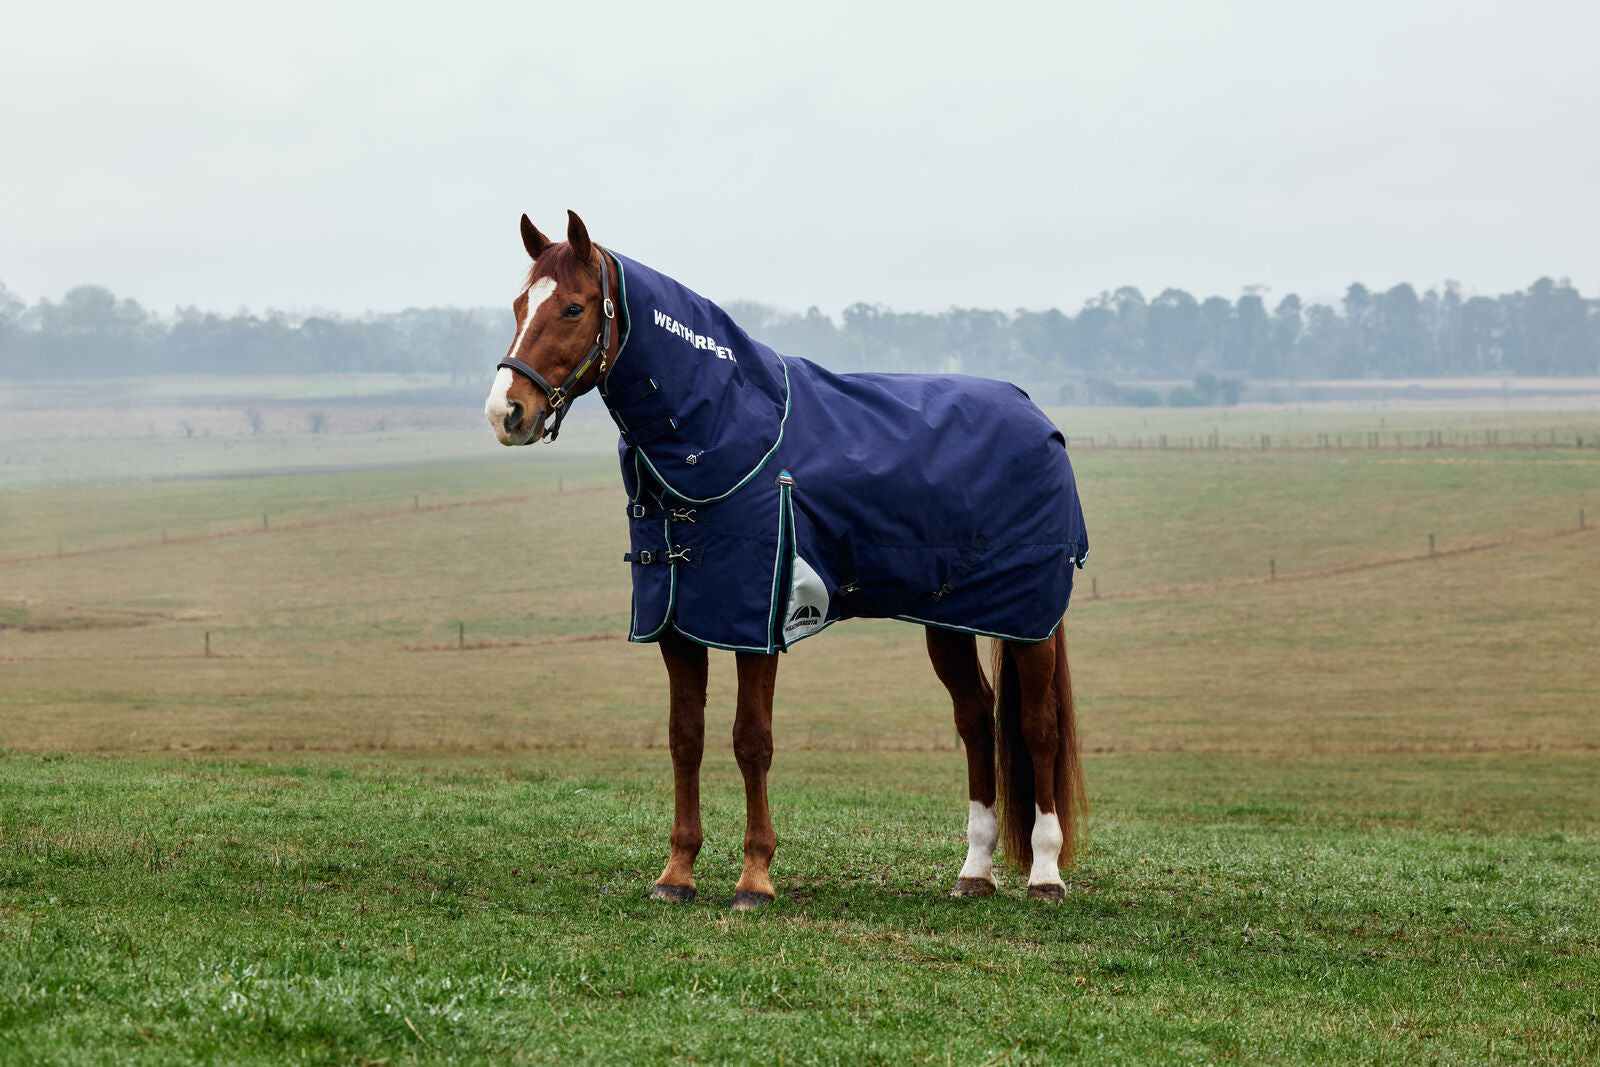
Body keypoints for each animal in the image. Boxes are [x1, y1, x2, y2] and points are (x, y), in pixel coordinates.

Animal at [485, 210, 1090, 909]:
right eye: (519, 305)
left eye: (574, 307)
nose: (506, 413)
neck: (728, 428)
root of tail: (1037, 416)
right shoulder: (678, 624)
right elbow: (684, 739)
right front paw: (677, 874)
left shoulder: (756, 624)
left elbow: (752, 741)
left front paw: (755, 879)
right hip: (950, 620)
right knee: (977, 720)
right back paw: (976, 870)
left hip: (1029, 623)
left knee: (1038, 725)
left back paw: (1044, 874)